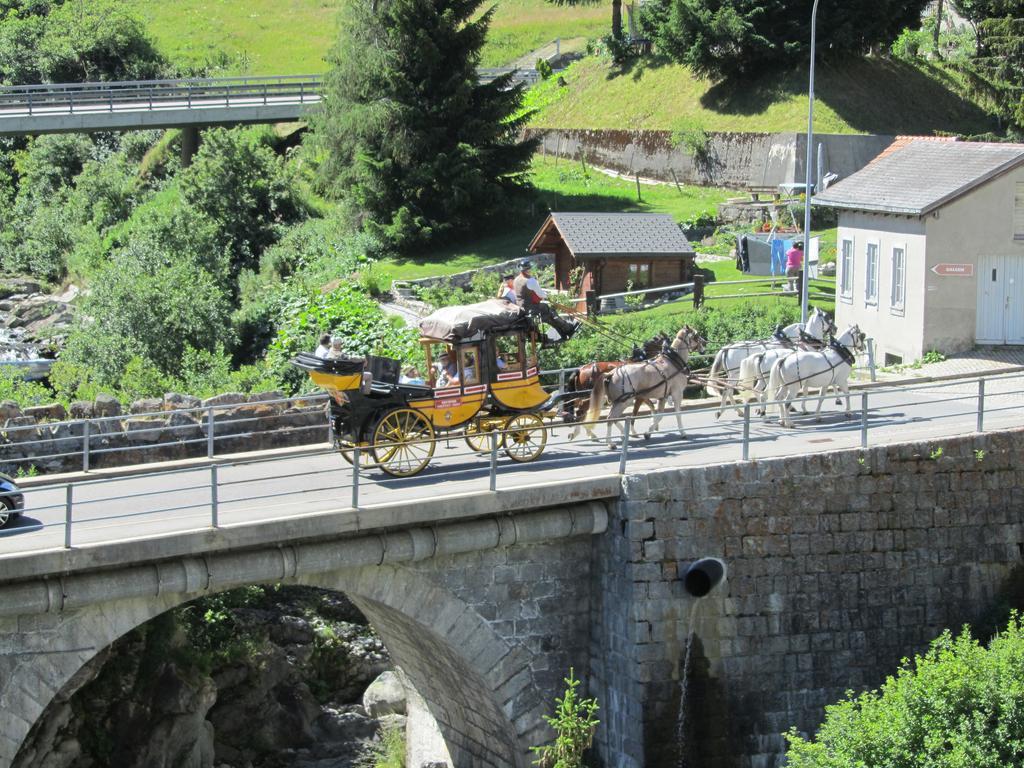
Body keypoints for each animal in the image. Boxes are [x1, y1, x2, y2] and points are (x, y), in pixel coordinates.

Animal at [573, 327, 708, 448]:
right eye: (696, 335)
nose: (705, 343)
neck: (673, 362)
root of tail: (610, 373)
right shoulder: (676, 394)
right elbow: (677, 414)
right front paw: (683, 433)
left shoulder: (662, 396)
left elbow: (659, 415)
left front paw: (649, 431)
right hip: (624, 401)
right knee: (609, 418)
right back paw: (609, 442)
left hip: (617, 401)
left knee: (609, 417)